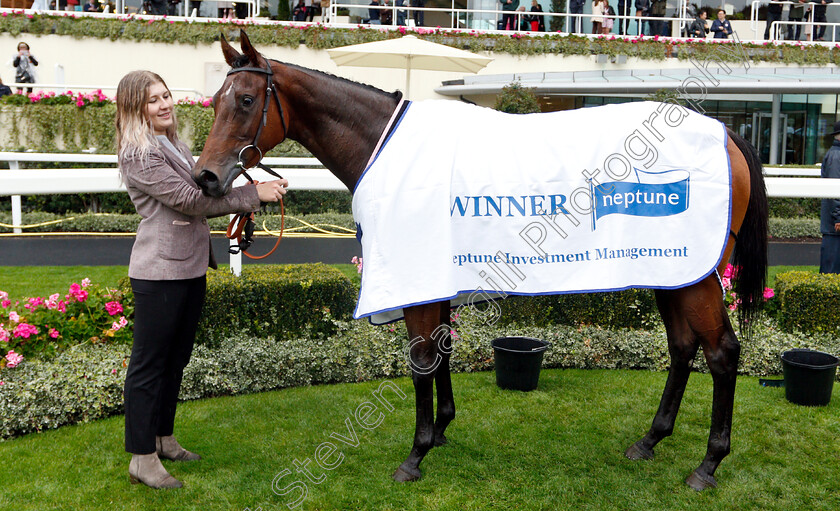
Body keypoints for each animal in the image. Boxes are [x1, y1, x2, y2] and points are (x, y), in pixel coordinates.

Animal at [195, 29, 768, 492]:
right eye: (215, 101)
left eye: (245, 99)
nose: (206, 177)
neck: (383, 147)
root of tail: (724, 132)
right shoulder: (435, 278)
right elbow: (441, 352)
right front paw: (442, 430)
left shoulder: (414, 275)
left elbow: (422, 359)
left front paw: (416, 453)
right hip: (673, 271)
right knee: (682, 348)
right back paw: (650, 440)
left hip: (695, 277)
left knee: (721, 352)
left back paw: (708, 465)